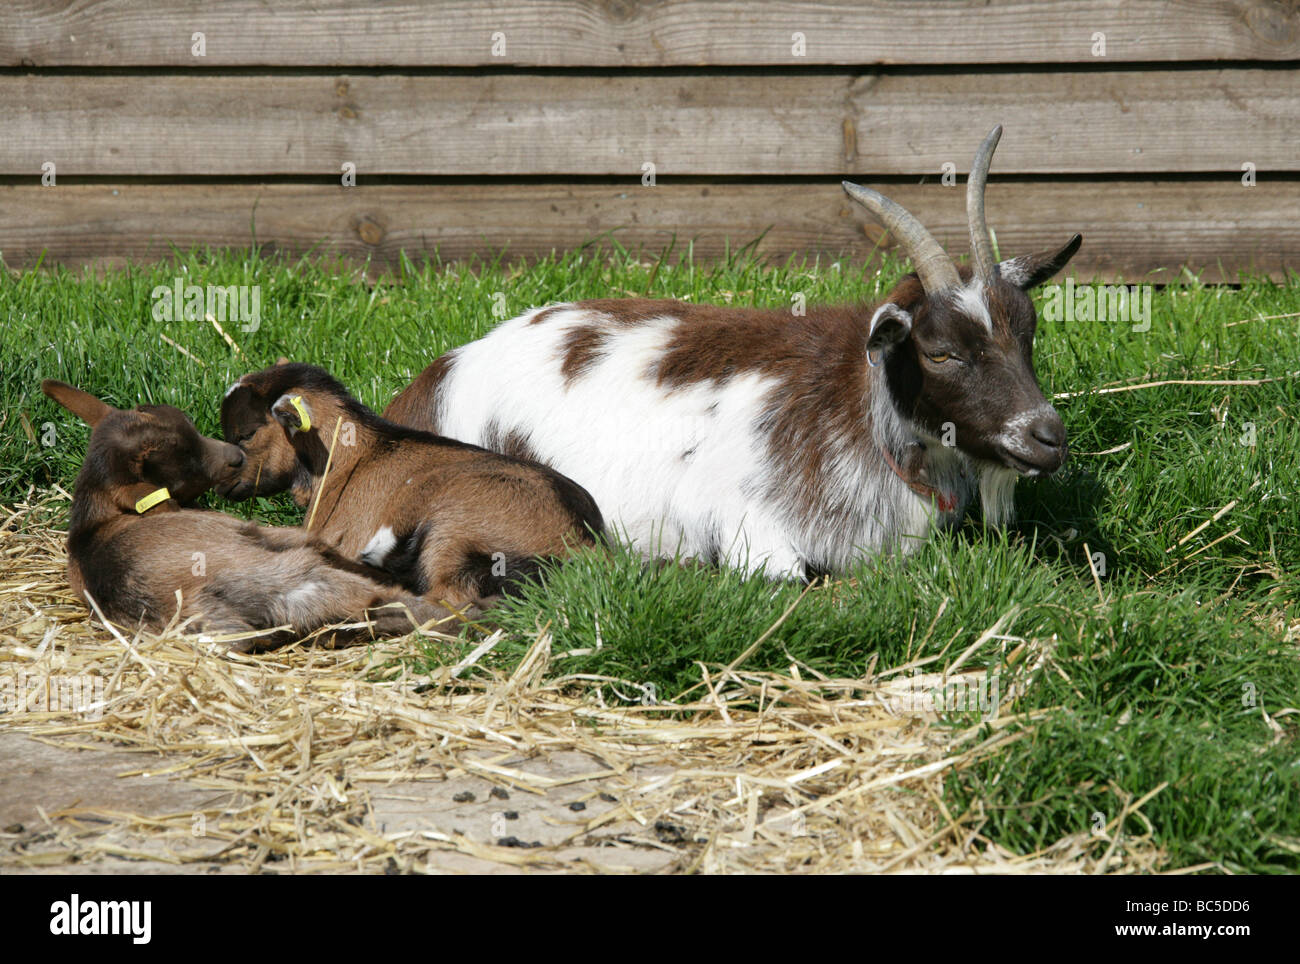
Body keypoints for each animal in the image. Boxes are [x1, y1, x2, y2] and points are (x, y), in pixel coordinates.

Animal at [379, 128, 1081, 582]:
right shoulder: (746, 522)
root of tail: (442, 373)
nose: (1047, 436)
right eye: (938, 353)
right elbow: (798, 578)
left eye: (1029, 330)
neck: (855, 405)